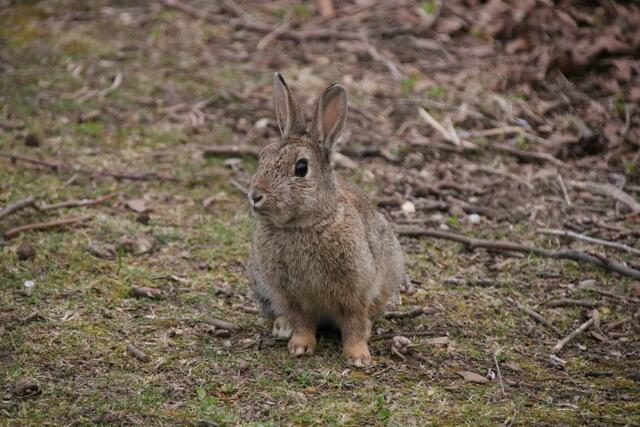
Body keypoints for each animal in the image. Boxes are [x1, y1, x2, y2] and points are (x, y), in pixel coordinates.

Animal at [246, 72, 405, 367]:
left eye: (301, 168)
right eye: (263, 157)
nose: (255, 195)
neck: (305, 224)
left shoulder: (355, 290)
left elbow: (354, 323)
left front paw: (359, 357)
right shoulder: (293, 296)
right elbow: (302, 321)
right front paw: (300, 346)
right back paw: (282, 327)